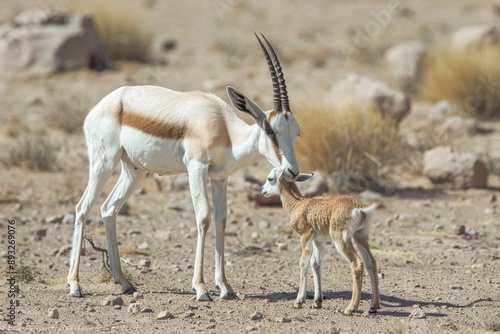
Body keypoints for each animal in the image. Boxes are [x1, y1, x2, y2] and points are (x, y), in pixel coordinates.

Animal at [66, 34, 300, 300]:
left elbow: (221, 220)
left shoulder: (220, 178)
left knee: (109, 208)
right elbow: (204, 217)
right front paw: (201, 288)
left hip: (134, 170)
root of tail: (98, 108)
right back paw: (75, 285)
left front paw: (225, 287)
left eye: (296, 133)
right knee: (83, 207)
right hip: (104, 161)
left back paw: (124, 283)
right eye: (270, 130)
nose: (293, 171)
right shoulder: (196, 168)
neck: (223, 127)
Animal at [262, 168, 378, 314]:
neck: (298, 204)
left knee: (357, 263)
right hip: (360, 237)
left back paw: (350, 308)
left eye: (270, 178)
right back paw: (373, 306)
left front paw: (298, 302)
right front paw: (317, 302)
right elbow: (316, 263)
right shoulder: (318, 241)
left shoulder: (305, 236)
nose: (263, 190)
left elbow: (303, 263)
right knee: (370, 262)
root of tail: (359, 208)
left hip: (341, 240)